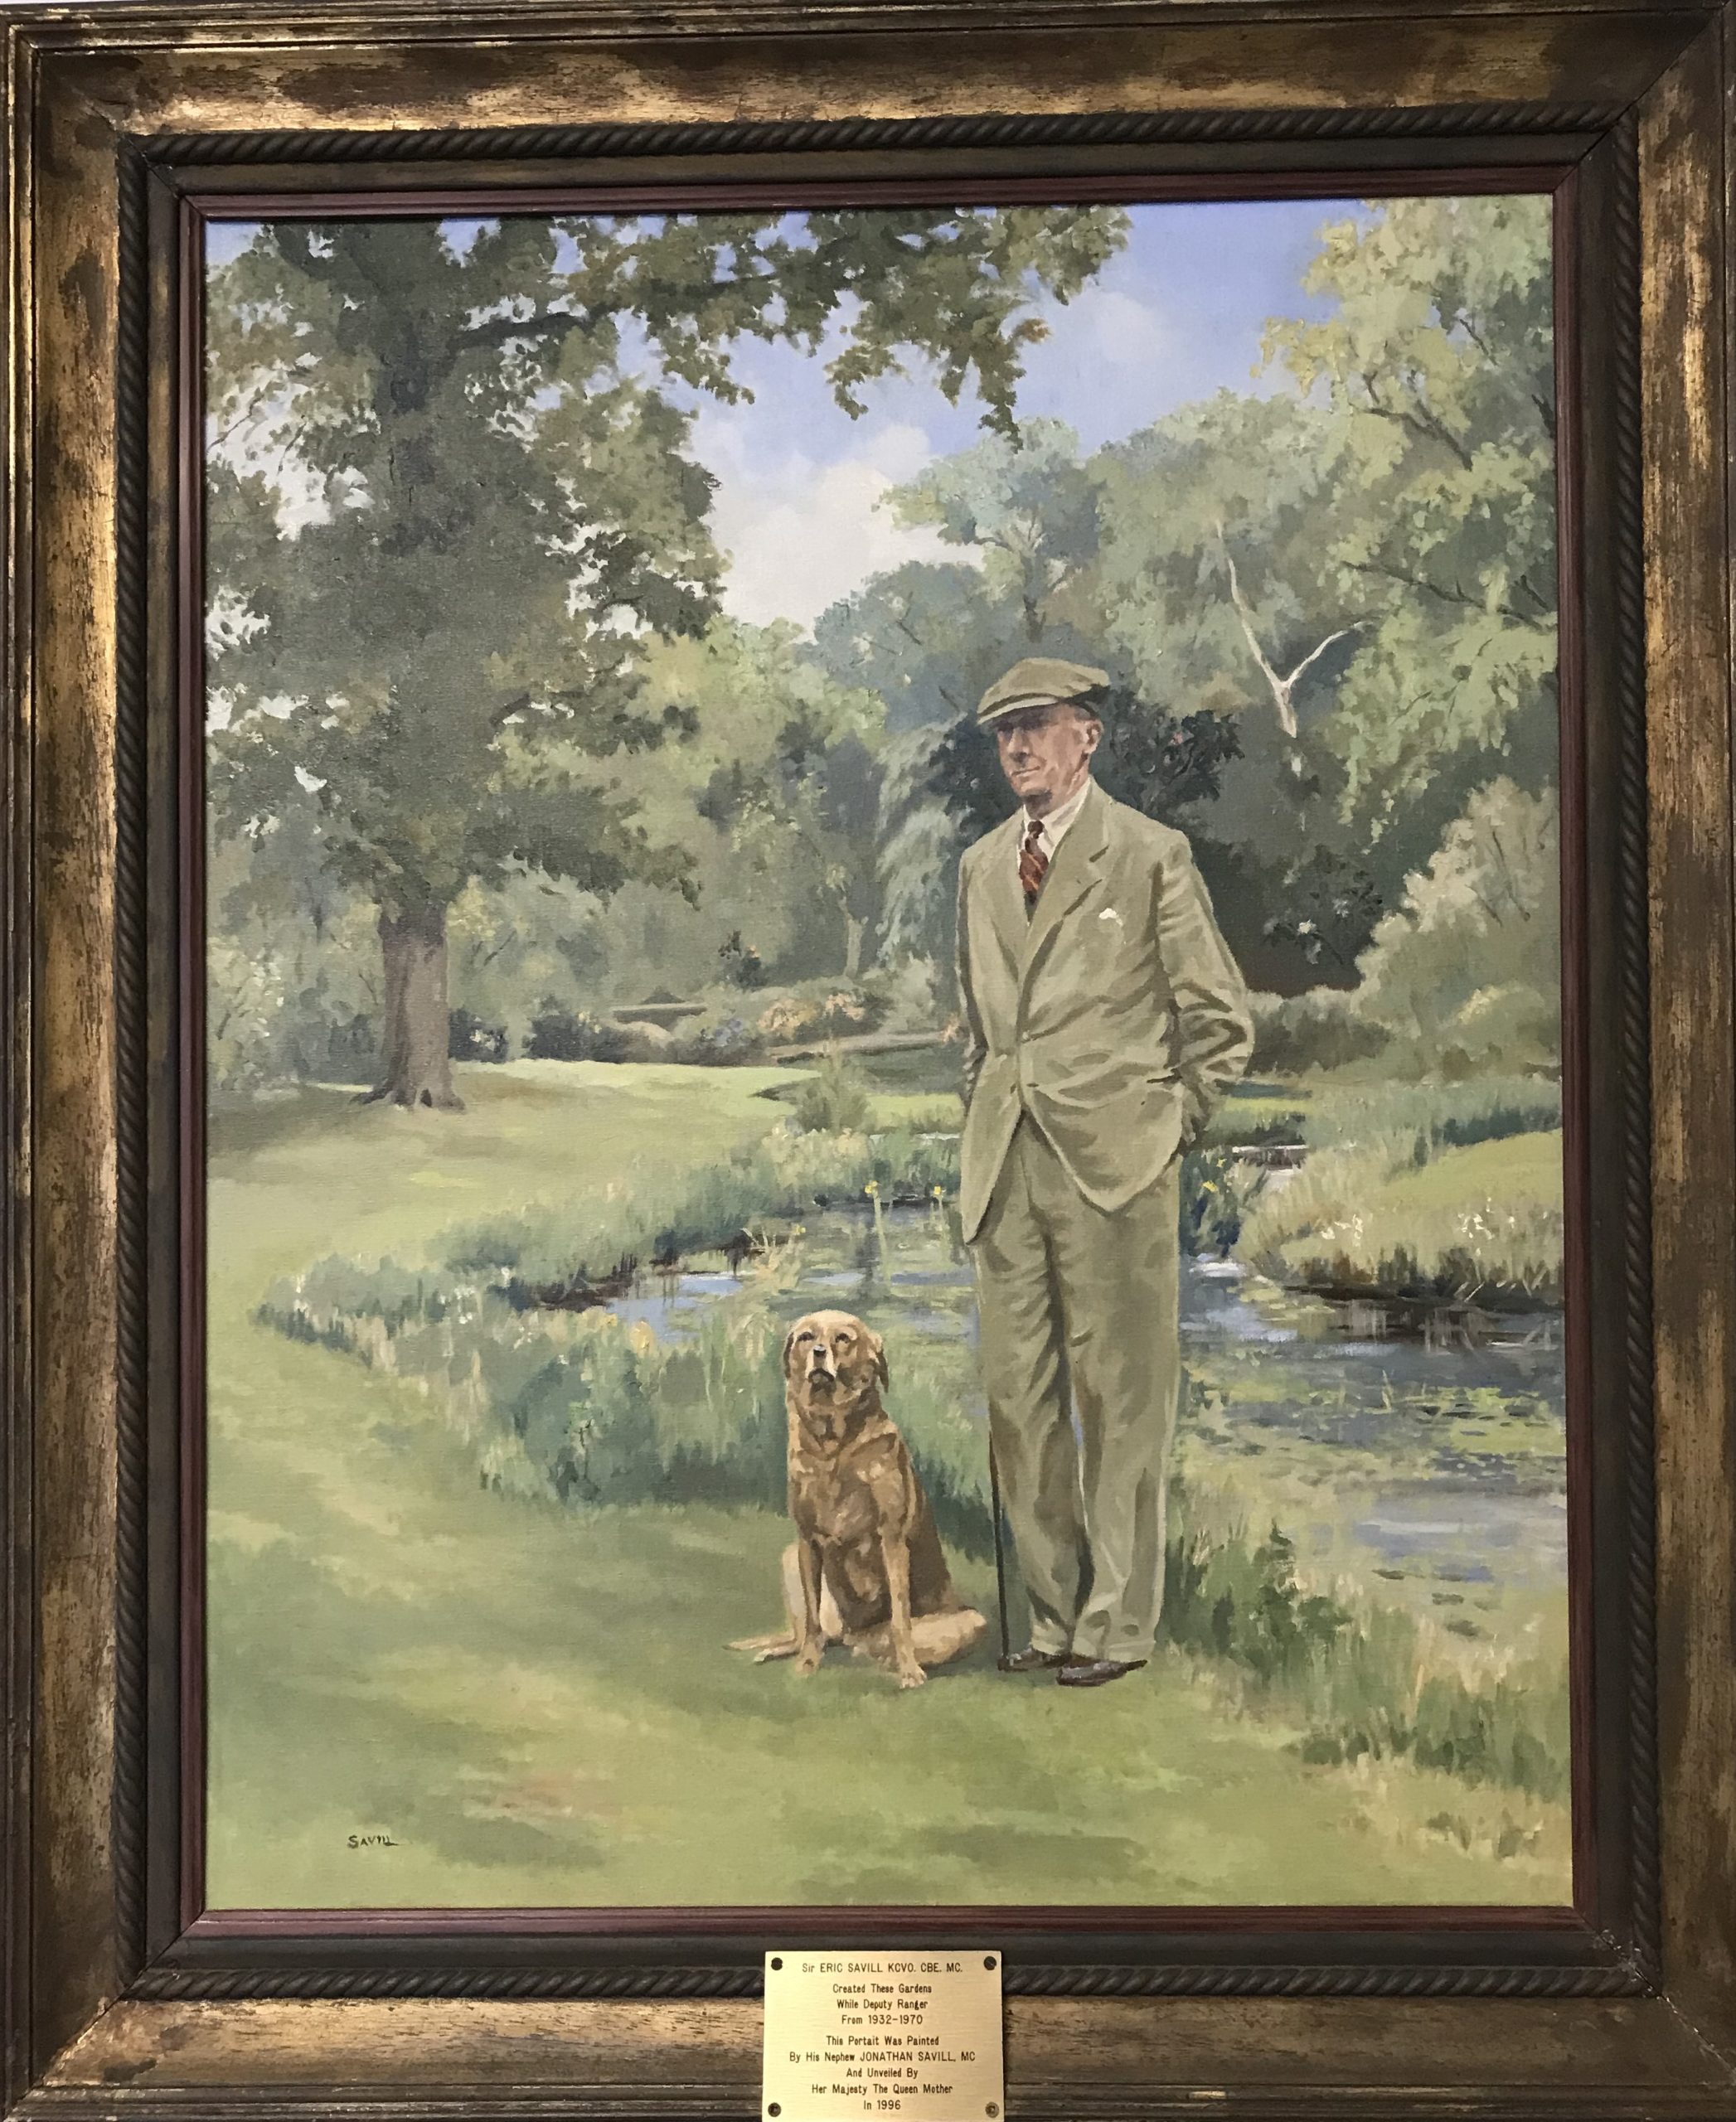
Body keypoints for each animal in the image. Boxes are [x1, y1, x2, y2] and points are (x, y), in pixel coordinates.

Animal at [721, 1306, 980, 1688]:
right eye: (806, 1337)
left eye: (843, 1338)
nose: (818, 1353)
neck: (833, 1447)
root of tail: (852, 1636)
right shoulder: (806, 1542)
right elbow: (812, 1622)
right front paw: (806, 1665)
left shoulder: (891, 1540)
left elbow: (901, 1620)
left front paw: (909, 1671)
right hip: (789, 1559)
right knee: (805, 1634)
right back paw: (777, 1651)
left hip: (970, 1621)